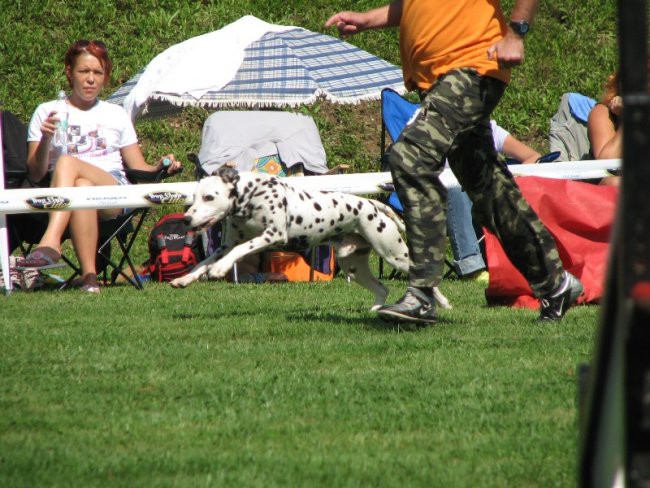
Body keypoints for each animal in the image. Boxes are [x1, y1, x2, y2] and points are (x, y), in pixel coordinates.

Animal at [170, 168, 448, 310]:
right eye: (195, 196)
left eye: (209, 197)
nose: (186, 219)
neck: (251, 195)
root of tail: (373, 204)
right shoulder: (226, 245)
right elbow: (202, 263)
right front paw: (185, 279)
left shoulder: (271, 235)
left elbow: (238, 252)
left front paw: (220, 268)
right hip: (354, 267)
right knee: (382, 289)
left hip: (394, 256)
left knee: (427, 281)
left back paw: (440, 303)